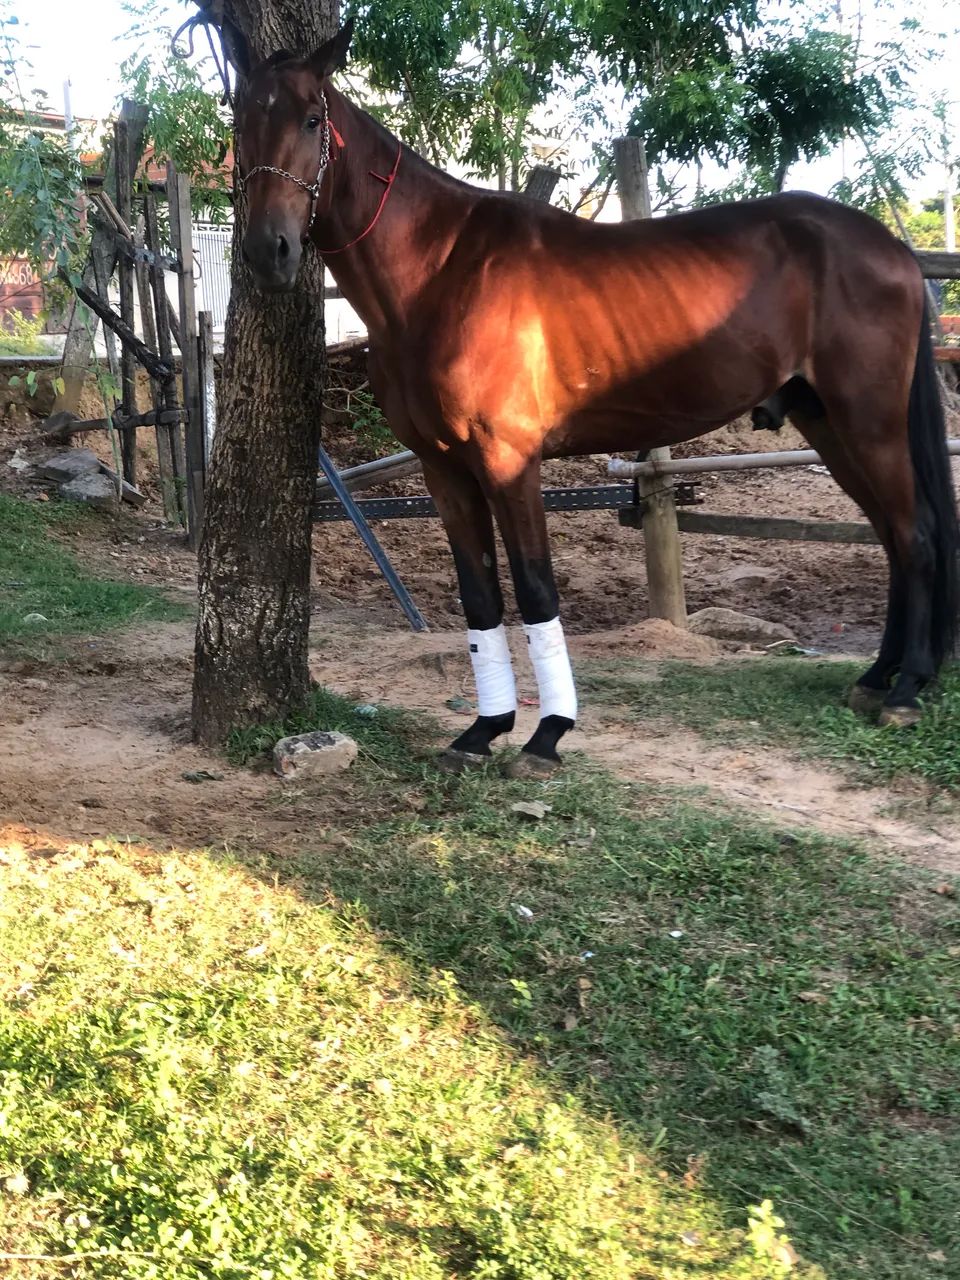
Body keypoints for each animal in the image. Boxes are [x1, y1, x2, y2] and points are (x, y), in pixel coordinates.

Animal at [236, 22, 958, 778]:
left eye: (311, 119)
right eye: (240, 119)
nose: (268, 251)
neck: (440, 273)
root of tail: (890, 247)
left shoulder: (509, 462)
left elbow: (535, 589)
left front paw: (546, 734)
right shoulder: (443, 468)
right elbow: (479, 595)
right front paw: (483, 730)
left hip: (869, 423)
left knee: (915, 535)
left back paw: (906, 689)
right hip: (829, 425)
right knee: (893, 536)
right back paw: (878, 678)